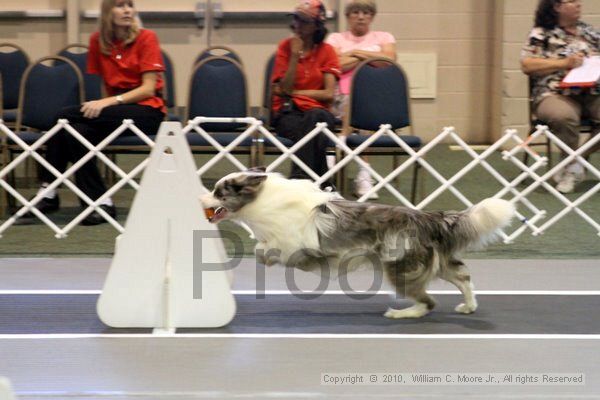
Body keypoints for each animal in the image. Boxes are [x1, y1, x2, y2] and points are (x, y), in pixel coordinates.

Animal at [202, 169, 516, 318]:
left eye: (218, 192)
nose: (200, 199)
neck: (261, 200)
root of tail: (427, 217)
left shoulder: (295, 244)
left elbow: (266, 249)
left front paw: (265, 257)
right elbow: (262, 247)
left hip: (401, 268)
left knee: (428, 301)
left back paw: (401, 313)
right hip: (432, 263)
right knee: (463, 277)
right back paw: (468, 307)